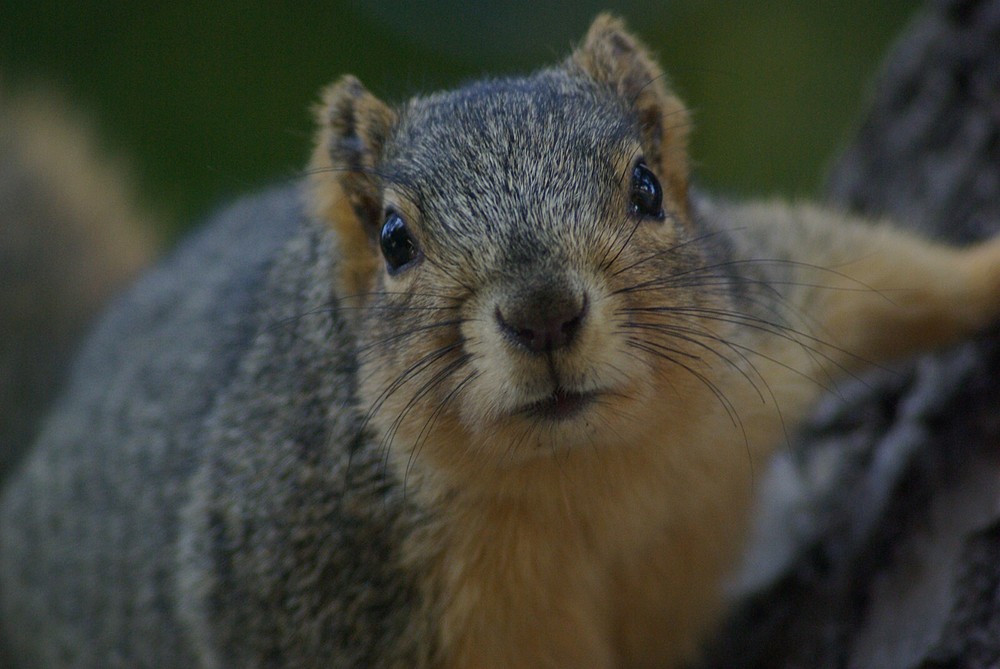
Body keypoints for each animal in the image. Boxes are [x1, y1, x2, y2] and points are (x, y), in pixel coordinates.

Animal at [3, 13, 1000, 668]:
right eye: (393, 239)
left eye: (648, 187)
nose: (543, 312)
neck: (585, 470)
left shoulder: (762, 311)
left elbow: (881, 271)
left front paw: (985, 273)